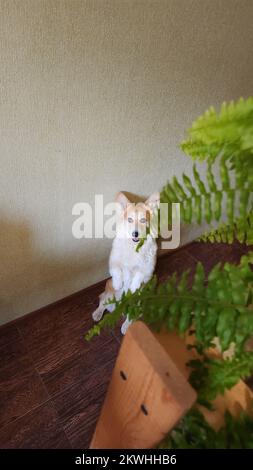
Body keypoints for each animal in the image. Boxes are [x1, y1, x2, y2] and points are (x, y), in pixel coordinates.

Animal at [92, 191, 159, 334]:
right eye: (130, 220)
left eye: (143, 220)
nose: (135, 234)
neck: (133, 247)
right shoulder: (114, 260)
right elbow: (117, 269)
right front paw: (119, 283)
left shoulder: (147, 270)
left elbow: (139, 274)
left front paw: (133, 286)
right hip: (109, 291)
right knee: (103, 302)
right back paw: (97, 313)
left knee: (130, 315)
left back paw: (126, 325)